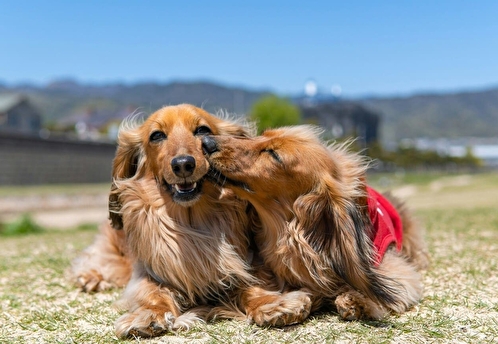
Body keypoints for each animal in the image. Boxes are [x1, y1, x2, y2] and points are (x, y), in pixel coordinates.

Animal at [202, 125, 428, 322]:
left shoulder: (391, 265)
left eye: (274, 154)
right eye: (260, 136)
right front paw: (272, 305)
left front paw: (359, 300)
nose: (206, 141)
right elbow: (246, 290)